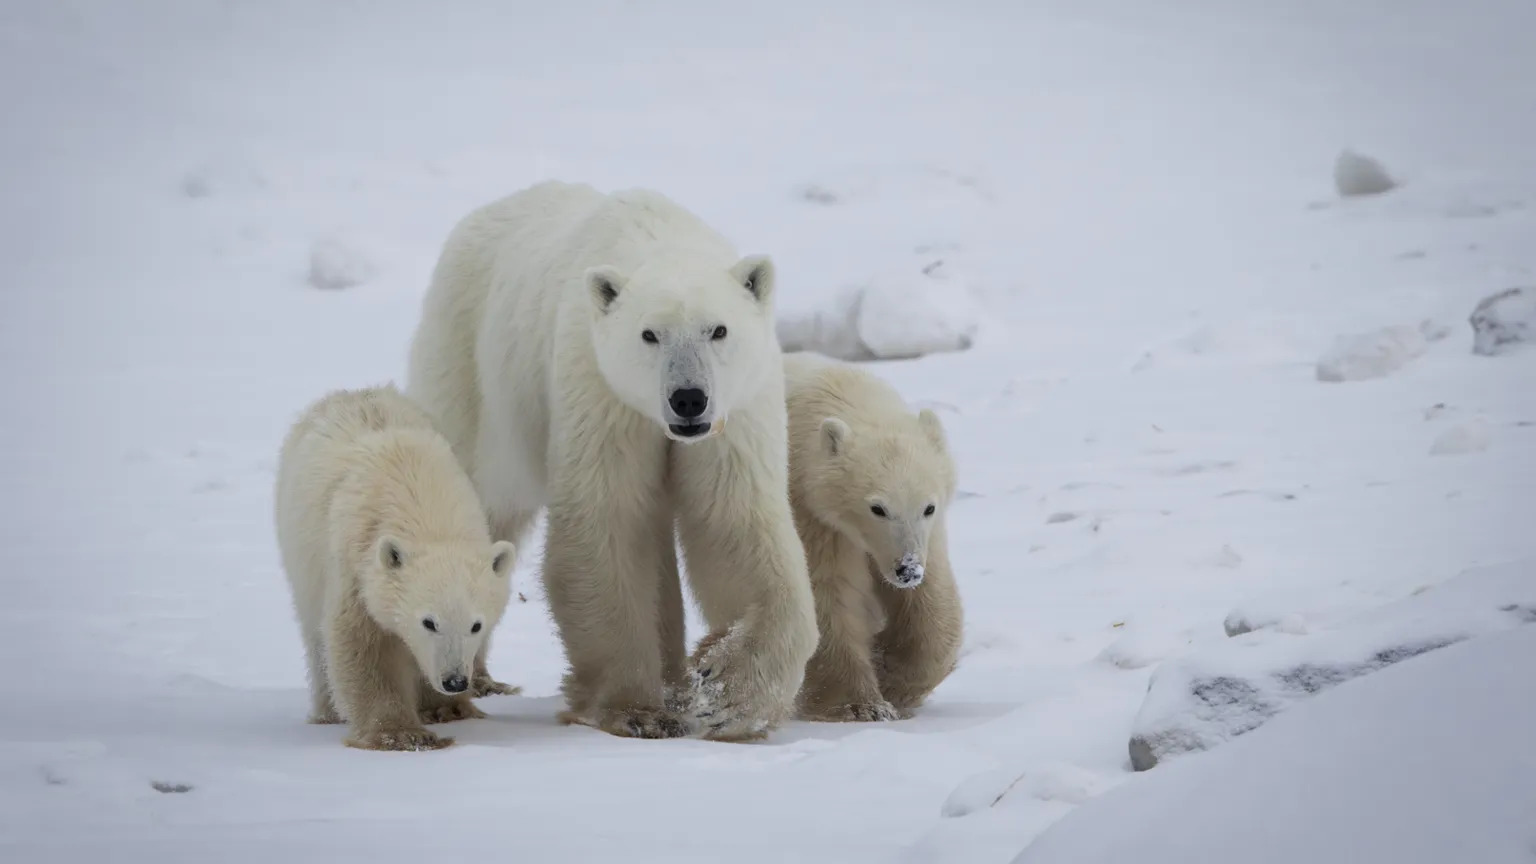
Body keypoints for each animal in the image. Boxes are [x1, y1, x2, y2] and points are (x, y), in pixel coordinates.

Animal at [273, 385, 516, 751]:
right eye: (429, 622)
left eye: (477, 625)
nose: (455, 681)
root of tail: (355, 392)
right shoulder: (357, 566)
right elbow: (364, 645)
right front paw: (401, 734)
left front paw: (447, 709)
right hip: (301, 555)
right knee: (315, 634)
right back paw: (327, 712)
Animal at [405, 180, 819, 741]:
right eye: (649, 334)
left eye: (718, 330)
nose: (688, 399)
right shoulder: (602, 393)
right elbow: (607, 526)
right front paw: (637, 711)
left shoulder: (736, 413)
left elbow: (733, 523)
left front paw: (728, 694)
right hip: (472, 373)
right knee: (479, 504)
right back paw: (467, 684)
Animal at [781, 351, 964, 722]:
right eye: (878, 508)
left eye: (928, 507)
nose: (907, 570)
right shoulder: (814, 515)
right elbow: (830, 595)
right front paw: (862, 705)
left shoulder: (928, 536)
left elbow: (932, 603)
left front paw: (894, 676)